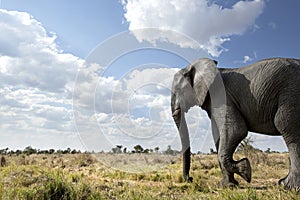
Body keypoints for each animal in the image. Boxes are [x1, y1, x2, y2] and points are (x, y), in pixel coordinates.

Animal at [172, 57, 300, 189]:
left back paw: (287, 186)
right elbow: (219, 135)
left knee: (286, 126)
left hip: (291, 93)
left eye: (178, 91)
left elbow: (236, 130)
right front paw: (227, 186)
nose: (190, 179)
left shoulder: (223, 97)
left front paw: (245, 171)